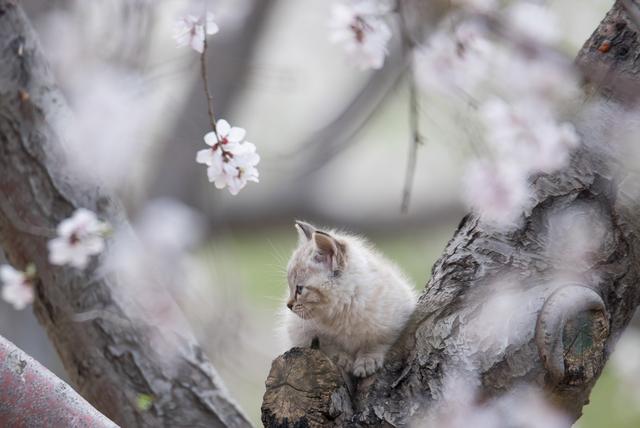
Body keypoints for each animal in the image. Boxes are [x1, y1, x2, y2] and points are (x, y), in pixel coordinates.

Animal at [282, 222, 418, 376]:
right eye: (290, 287)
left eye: (299, 289)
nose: (289, 305)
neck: (344, 310)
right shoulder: (301, 330)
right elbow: (328, 344)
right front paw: (342, 357)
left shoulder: (396, 319)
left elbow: (377, 341)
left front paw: (367, 360)